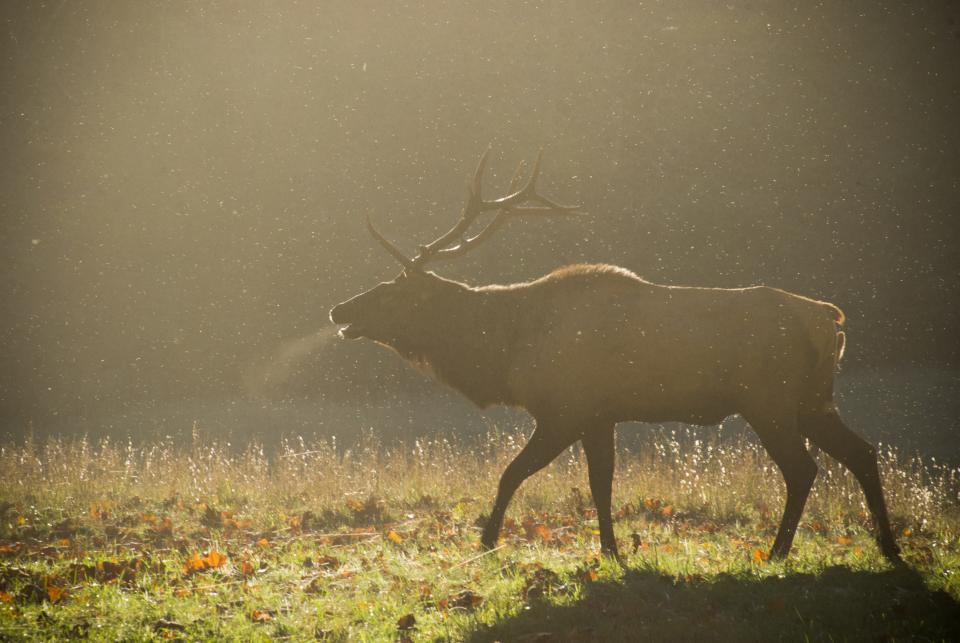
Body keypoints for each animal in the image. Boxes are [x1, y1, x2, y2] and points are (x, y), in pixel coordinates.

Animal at [328, 152, 900, 564]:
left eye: (393, 291)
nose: (338, 309)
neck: (507, 350)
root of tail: (829, 320)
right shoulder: (600, 415)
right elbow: (601, 486)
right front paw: (610, 550)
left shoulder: (565, 409)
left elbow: (512, 473)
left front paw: (487, 542)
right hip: (813, 400)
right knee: (863, 452)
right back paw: (888, 547)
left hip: (770, 400)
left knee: (804, 469)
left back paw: (777, 553)